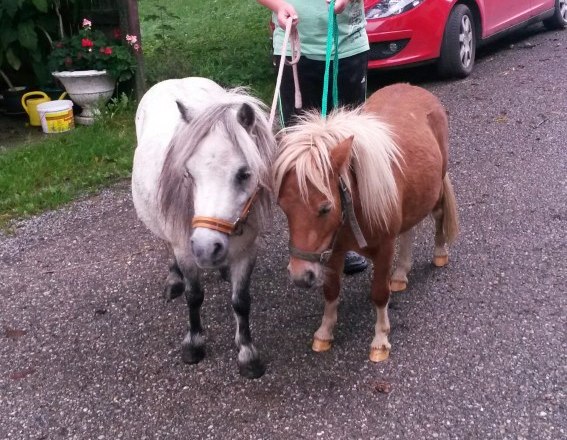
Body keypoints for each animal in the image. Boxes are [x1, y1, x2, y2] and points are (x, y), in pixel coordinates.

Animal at [132, 78, 276, 378]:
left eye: (244, 174)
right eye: (188, 174)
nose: (206, 248)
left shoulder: (248, 250)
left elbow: (241, 301)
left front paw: (247, 354)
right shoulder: (185, 249)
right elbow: (194, 296)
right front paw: (194, 344)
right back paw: (174, 280)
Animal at [276, 84, 462, 362]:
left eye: (325, 208)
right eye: (283, 208)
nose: (300, 276)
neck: (353, 205)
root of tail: (414, 88)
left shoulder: (384, 248)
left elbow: (379, 293)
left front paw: (380, 341)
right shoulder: (333, 250)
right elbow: (331, 290)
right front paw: (324, 333)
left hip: (437, 183)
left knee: (438, 214)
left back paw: (439, 254)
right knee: (408, 230)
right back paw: (400, 274)